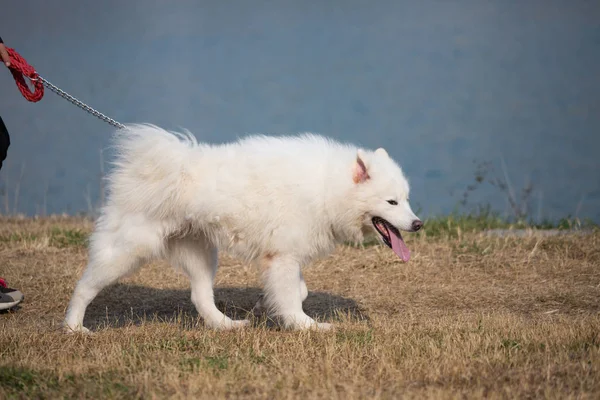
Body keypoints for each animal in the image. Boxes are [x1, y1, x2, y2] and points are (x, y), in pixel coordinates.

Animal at [64, 124, 422, 332]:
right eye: (392, 202)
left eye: (407, 199)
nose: (418, 224)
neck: (327, 188)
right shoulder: (283, 257)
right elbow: (293, 297)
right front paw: (308, 326)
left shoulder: (284, 256)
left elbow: (298, 290)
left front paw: (267, 306)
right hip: (128, 249)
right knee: (84, 286)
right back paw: (73, 327)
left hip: (200, 252)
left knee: (200, 296)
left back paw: (227, 325)